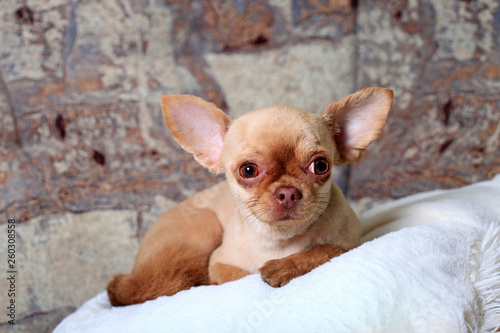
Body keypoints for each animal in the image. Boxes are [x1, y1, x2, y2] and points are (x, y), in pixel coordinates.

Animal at [107, 87, 392, 304]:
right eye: (248, 170)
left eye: (320, 166)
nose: (287, 192)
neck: (280, 239)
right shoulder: (218, 262)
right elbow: (242, 277)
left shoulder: (350, 244)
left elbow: (326, 249)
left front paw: (284, 267)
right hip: (204, 225)